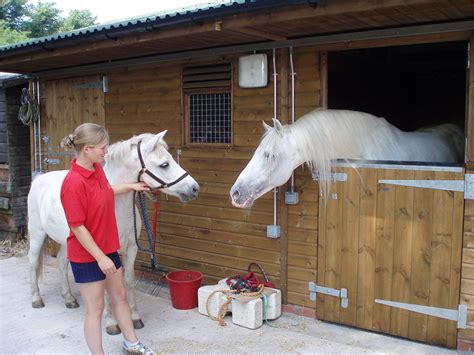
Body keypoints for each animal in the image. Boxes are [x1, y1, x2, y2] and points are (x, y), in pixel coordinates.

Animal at [28, 131, 198, 334]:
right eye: (164, 164)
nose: (194, 188)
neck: (116, 205)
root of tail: (39, 179)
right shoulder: (106, 255)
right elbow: (107, 288)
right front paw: (111, 323)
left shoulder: (131, 250)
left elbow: (129, 282)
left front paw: (135, 318)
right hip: (37, 234)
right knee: (33, 262)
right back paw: (36, 299)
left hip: (67, 241)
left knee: (61, 262)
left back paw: (69, 298)